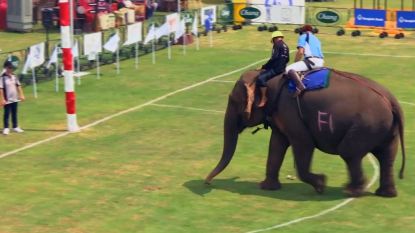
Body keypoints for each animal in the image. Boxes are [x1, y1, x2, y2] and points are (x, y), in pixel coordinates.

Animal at [205, 68, 406, 197]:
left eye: (233, 101)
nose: (207, 181)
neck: (267, 78)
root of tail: (391, 100)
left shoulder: (289, 110)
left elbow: (303, 143)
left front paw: (321, 184)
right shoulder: (281, 114)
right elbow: (276, 145)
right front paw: (267, 187)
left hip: (367, 125)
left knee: (349, 152)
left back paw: (351, 191)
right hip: (385, 129)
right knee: (386, 156)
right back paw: (386, 194)